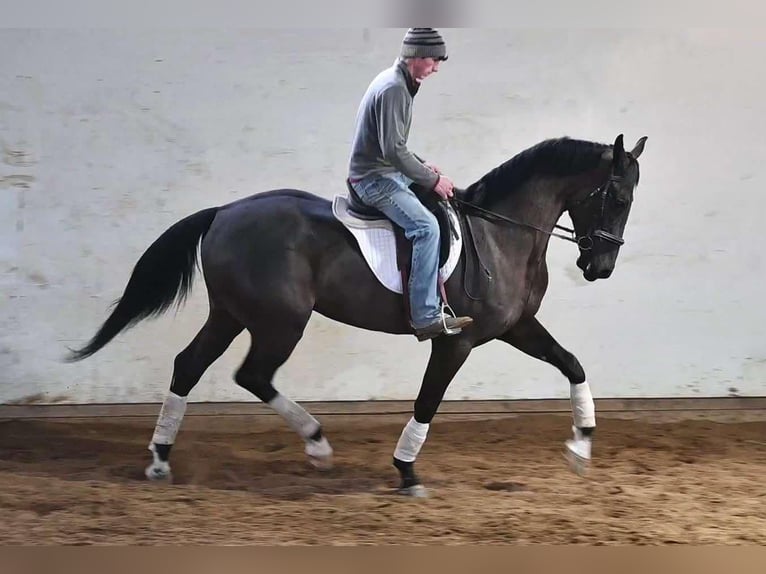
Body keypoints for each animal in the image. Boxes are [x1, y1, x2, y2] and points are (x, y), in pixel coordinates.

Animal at [69, 133, 652, 498]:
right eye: (618, 197)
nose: (600, 267)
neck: (502, 233)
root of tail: (225, 212)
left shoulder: (514, 328)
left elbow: (572, 363)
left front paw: (581, 445)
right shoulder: (456, 341)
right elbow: (427, 401)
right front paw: (408, 472)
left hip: (231, 314)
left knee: (190, 366)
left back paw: (161, 458)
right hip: (281, 321)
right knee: (252, 374)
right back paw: (316, 442)